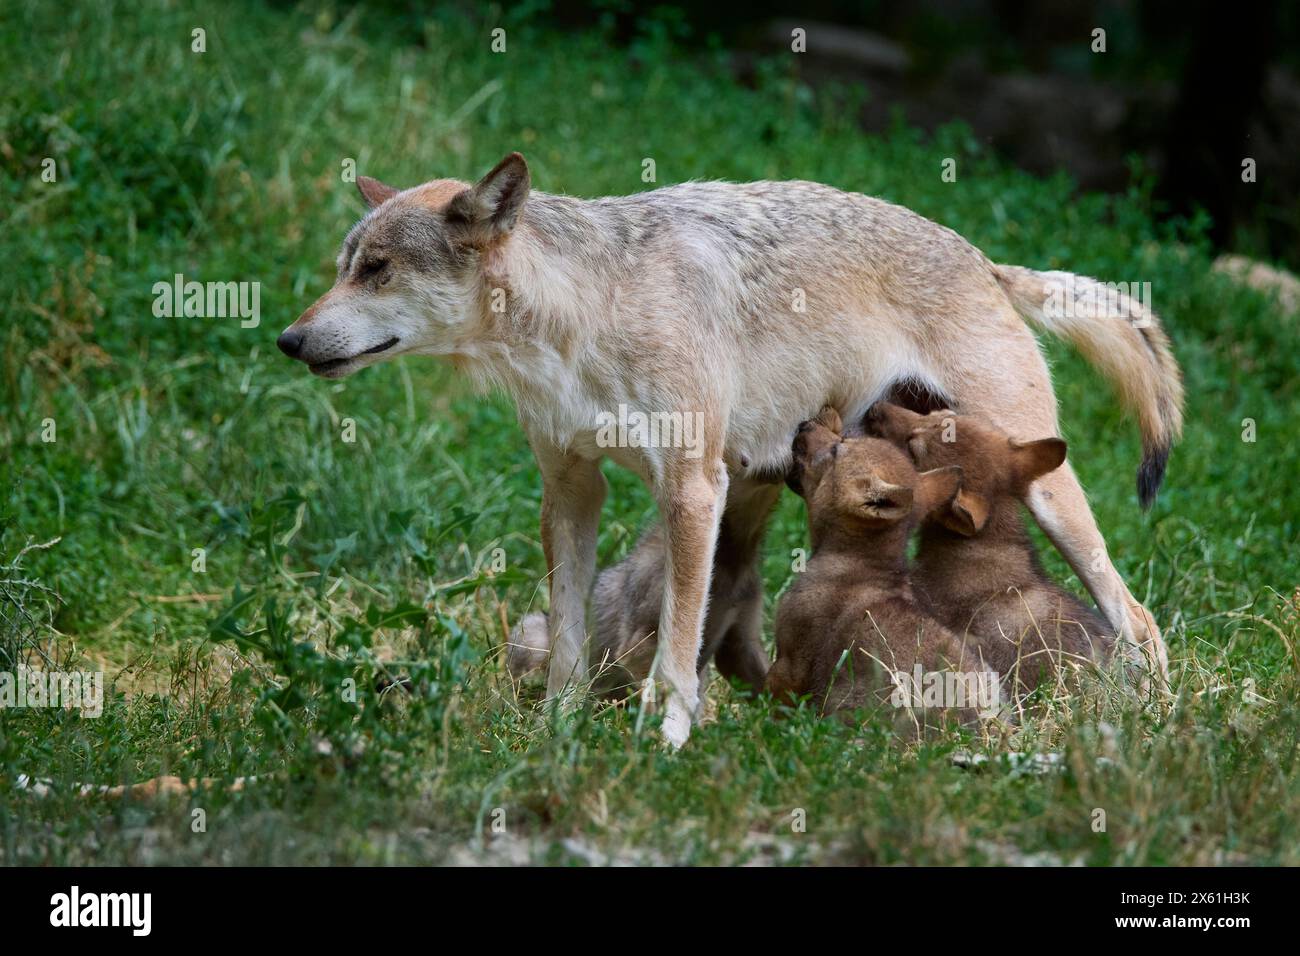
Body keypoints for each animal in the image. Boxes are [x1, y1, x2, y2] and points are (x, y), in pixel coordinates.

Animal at [279, 151, 1185, 749]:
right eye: (343, 266)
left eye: (378, 269)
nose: (287, 340)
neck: (583, 317)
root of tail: (984, 261)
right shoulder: (571, 489)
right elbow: (571, 640)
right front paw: (558, 736)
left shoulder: (691, 487)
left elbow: (680, 644)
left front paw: (665, 739)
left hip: (1052, 501)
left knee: (1137, 615)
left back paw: (1158, 719)